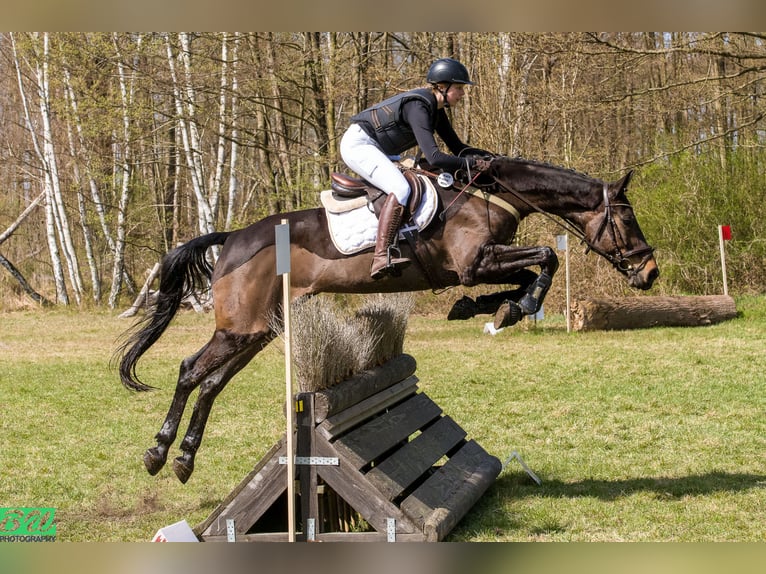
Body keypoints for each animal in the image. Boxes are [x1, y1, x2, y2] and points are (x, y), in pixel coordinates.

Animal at [117, 155, 659, 483]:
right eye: (626, 218)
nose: (650, 273)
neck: (493, 193)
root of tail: (231, 237)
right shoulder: (474, 263)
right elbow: (546, 256)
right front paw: (512, 309)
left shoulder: (481, 265)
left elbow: (533, 268)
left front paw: (487, 309)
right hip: (239, 328)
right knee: (191, 370)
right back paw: (159, 453)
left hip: (257, 331)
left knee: (212, 382)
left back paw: (184, 458)